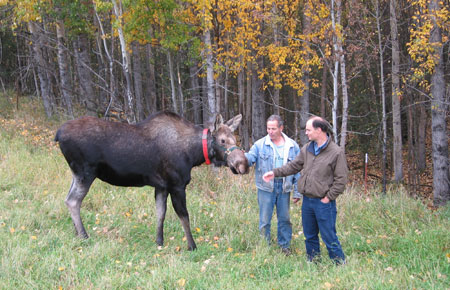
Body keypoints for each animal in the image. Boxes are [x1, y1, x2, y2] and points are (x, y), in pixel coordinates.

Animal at [56, 111, 250, 249]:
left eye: (235, 139)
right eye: (223, 140)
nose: (243, 165)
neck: (194, 155)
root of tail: (58, 134)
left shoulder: (161, 186)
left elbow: (160, 213)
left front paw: (159, 241)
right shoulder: (177, 185)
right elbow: (184, 216)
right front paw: (192, 246)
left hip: (76, 173)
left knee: (67, 199)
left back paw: (77, 234)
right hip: (86, 172)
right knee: (73, 201)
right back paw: (84, 236)